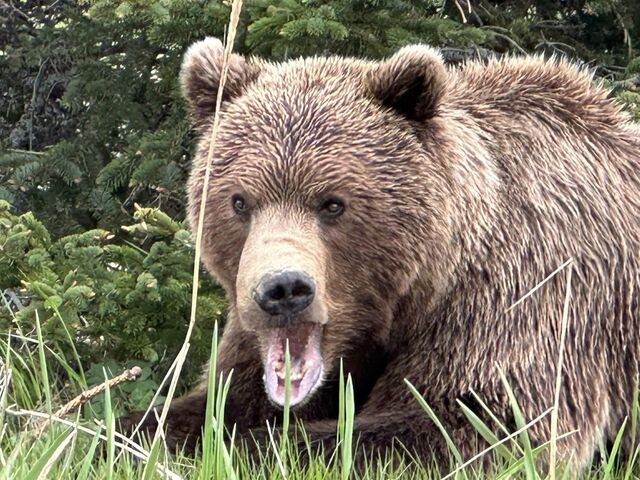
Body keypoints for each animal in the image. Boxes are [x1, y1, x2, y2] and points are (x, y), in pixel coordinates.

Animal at [122, 38, 640, 472]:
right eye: (239, 201)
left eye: (333, 203)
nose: (282, 289)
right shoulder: (252, 338)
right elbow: (217, 400)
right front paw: (133, 432)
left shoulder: (521, 296)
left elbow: (470, 425)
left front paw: (261, 444)